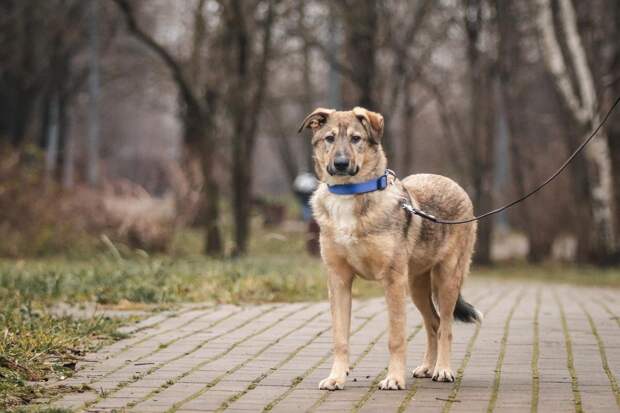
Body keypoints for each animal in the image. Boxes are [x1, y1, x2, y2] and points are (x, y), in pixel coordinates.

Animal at [298, 106, 482, 390]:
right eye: (329, 138)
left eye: (356, 139)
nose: (340, 164)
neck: (349, 196)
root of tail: (451, 182)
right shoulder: (338, 280)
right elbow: (340, 338)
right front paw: (336, 378)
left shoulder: (393, 280)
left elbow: (396, 338)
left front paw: (394, 378)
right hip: (417, 286)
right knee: (433, 323)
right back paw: (427, 368)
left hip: (446, 280)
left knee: (446, 327)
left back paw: (442, 370)